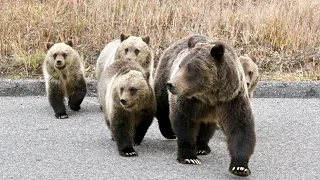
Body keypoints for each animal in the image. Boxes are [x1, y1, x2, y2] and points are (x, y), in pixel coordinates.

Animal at [154, 34, 256, 176]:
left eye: (190, 68)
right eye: (180, 65)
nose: (171, 84)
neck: (209, 95)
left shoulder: (232, 98)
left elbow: (241, 126)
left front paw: (240, 167)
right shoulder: (188, 100)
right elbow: (184, 122)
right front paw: (189, 157)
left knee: (206, 126)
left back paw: (202, 147)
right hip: (164, 72)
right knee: (163, 106)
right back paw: (169, 132)